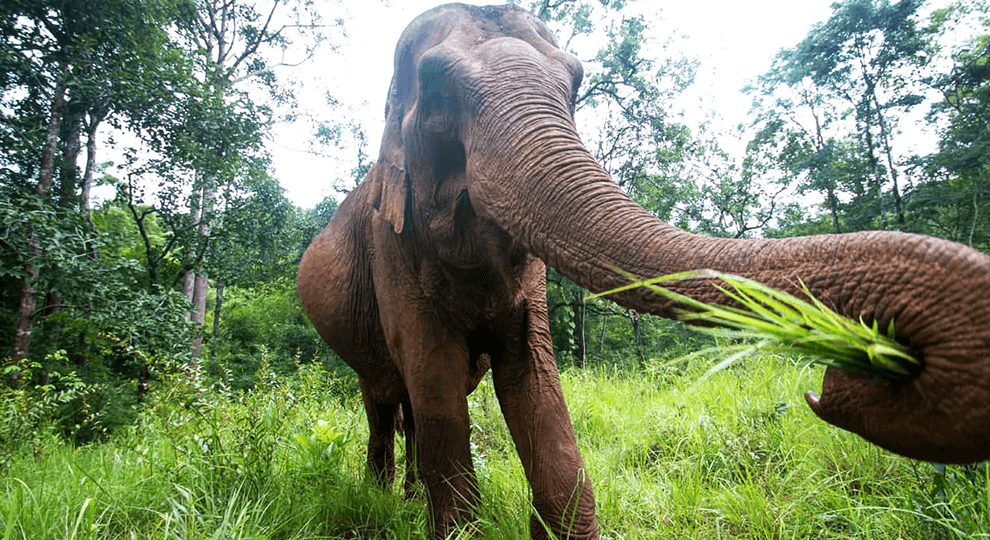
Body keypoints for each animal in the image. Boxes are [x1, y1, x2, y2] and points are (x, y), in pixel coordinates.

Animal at [297, 3, 990, 539]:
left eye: (575, 84)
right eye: (437, 92)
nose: (856, 366)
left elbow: (533, 377)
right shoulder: (392, 249)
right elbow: (436, 378)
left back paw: (407, 500)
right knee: (385, 400)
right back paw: (382, 497)